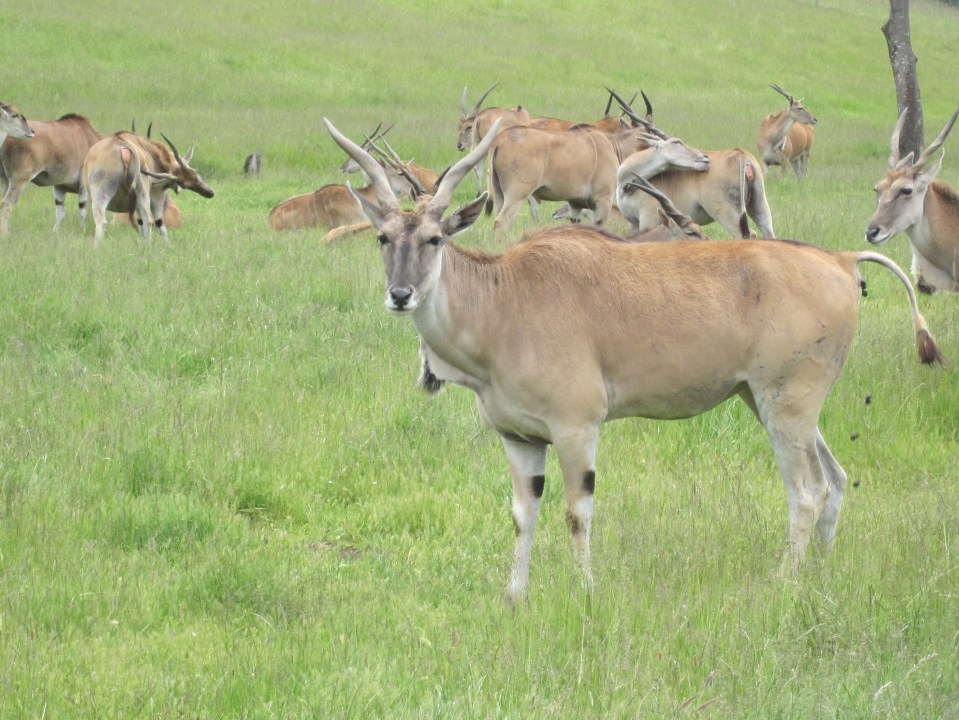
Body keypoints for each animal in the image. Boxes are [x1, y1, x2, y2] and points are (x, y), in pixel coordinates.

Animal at [1, 110, 102, 239]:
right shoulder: (83, 188)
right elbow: (81, 213)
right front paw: (82, 230)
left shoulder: (59, 187)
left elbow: (60, 215)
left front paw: (55, 233)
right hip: (19, 181)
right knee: (6, 205)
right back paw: (5, 235)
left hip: (6, 181)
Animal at [82, 131, 214, 245]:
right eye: (194, 174)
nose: (210, 192)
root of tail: (124, 147)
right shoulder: (157, 195)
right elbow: (160, 225)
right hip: (142, 193)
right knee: (148, 221)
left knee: (102, 222)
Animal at [324, 115, 944, 605]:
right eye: (383, 238)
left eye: (434, 239)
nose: (400, 295)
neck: (504, 299)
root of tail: (841, 260)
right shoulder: (520, 439)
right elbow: (523, 515)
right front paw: (514, 598)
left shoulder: (577, 428)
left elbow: (577, 512)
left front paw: (586, 592)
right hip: (770, 403)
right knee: (835, 481)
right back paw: (820, 575)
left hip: (787, 406)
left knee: (808, 491)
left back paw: (783, 583)